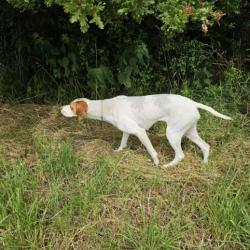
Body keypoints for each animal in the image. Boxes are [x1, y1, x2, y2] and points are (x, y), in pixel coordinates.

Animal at [60, 94, 230, 169]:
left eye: (71, 106)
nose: (60, 108)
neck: (106, 106)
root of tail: (193, 103)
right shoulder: (127, 131)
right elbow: (122, 143)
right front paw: (118, 151)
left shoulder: (140, 131)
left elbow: (152, 151)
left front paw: (156, 162)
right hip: (189, 132)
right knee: (206, 146)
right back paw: (205, 163)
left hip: (173, 133)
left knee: (180, 155)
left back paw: (167, 166)